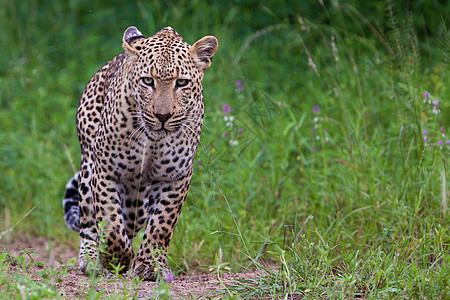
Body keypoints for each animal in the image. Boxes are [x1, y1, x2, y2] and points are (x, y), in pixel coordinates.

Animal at [62, 26, 218, 282]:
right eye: (147, 81)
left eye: (181, 83)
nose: (163, 116)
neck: (153, 140)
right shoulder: (106, 171)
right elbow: (110, 224)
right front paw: (116, 259)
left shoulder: (175, 178)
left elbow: (161, 225)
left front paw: (149, 266)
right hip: (88, 168)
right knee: (88, 222)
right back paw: (92, 259)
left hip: (137, 201)